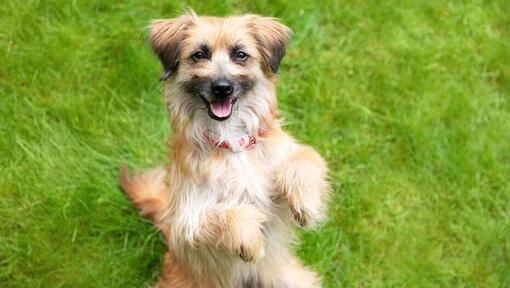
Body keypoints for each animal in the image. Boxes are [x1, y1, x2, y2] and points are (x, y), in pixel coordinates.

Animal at [121, 10, 332, 288]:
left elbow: (305, 157)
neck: (232, 144)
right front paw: (251, 242)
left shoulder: (279, 185)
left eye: (240, 54)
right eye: (198, 55)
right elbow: (226, 214)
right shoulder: (187, 221)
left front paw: (307, 204)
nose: (222, 87)